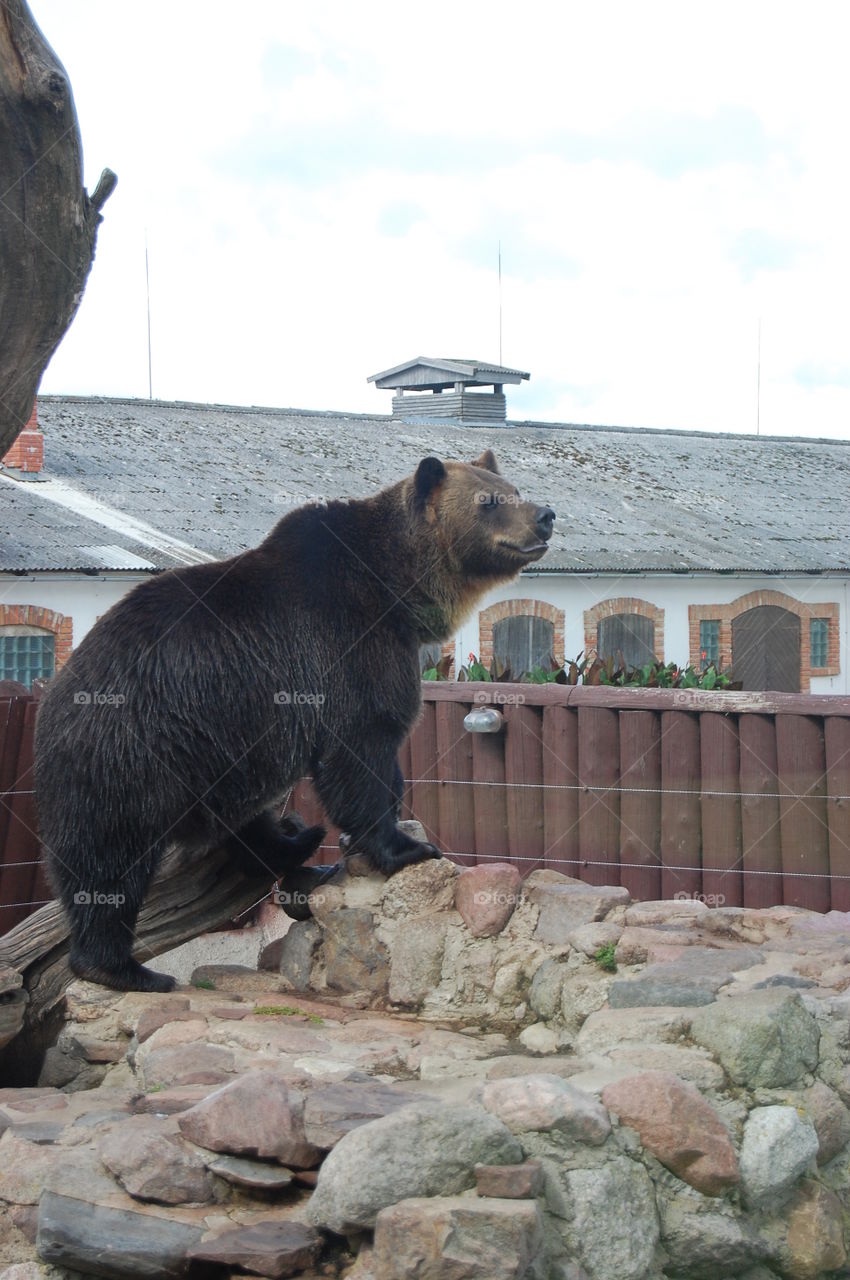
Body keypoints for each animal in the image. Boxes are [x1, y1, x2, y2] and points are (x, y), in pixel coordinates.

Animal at [34, 450, 554, 992]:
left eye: (514, 489)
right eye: (490, 500)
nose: (545, 515)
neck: (396, 586)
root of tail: (54, 694)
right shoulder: (349, 643)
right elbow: (363, 744)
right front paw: (405, 846)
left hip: (217, 755)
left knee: (241, 820)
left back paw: (295, 840)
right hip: (131, 752)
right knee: (108, 862)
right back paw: (123, 967)